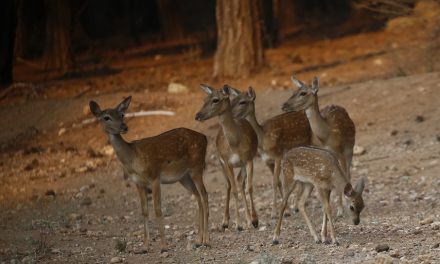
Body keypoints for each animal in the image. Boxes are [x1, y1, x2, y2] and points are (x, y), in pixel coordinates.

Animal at [89, 96, 210, 252]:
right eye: (106, 117)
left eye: (122, 114)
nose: (124, 127)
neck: (133, 158)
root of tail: (204, 137)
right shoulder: (138, 182)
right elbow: (144, 211)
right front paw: (145, 246)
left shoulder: (154, 176)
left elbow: (157, 209)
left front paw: (164, 245)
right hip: (183, 176)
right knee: (197, 196)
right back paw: (198, 239)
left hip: (197, 166)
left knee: (204, 194)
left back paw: (206, 240)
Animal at [195, 85, 260, 231]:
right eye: (204, 99)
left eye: (215, 99)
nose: (198, 115)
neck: (235, 143)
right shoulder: (226, 161)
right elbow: (234, 189)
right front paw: (238, 224)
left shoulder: (248, 159)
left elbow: (249, 187)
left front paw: (254, 220)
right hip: (221, 163)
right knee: (229, 185)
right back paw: (225, 222)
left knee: (240, 182)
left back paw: (248, 220)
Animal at [229, 85, 312, 218]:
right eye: (232, 100)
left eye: (243, 102)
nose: (230, 115)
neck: (263, 139)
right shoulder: (267, 161)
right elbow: (278, 182)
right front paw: (286, 211)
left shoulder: (278, 156)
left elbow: (274, 182)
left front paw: (273, 213)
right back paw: (296, 205)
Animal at [282, 76, 358, 217]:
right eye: (294, 91)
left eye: (303, 93)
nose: (284, 105)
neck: (326, 136)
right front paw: (336, 209)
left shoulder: (340, 151)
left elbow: (343, 177)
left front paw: (340, 210)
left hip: (350, 147)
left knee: (348, 173)